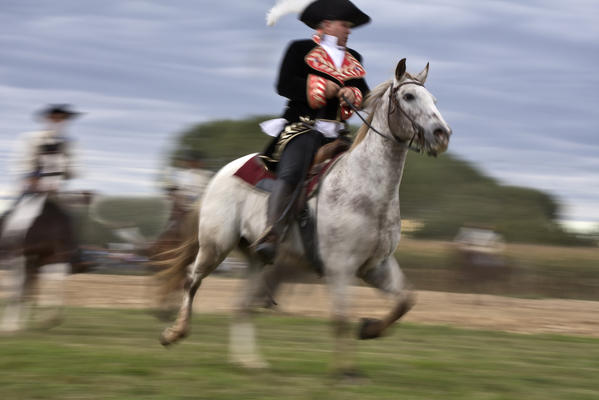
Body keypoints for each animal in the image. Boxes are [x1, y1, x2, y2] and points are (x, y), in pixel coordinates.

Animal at [159, 59, 450, 372]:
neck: (367, 190)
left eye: (434, 100)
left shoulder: (376, 266)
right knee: (192, 279)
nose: (442, 134)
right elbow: (341, 318)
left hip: (257, 259)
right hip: (216, 245)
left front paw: (369, 329)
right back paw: (174, 333)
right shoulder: (339, 267)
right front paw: (345, 372)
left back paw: (249, 361)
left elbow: (405, 301)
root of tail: (220, 174)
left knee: (242, 304)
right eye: (408, 96)